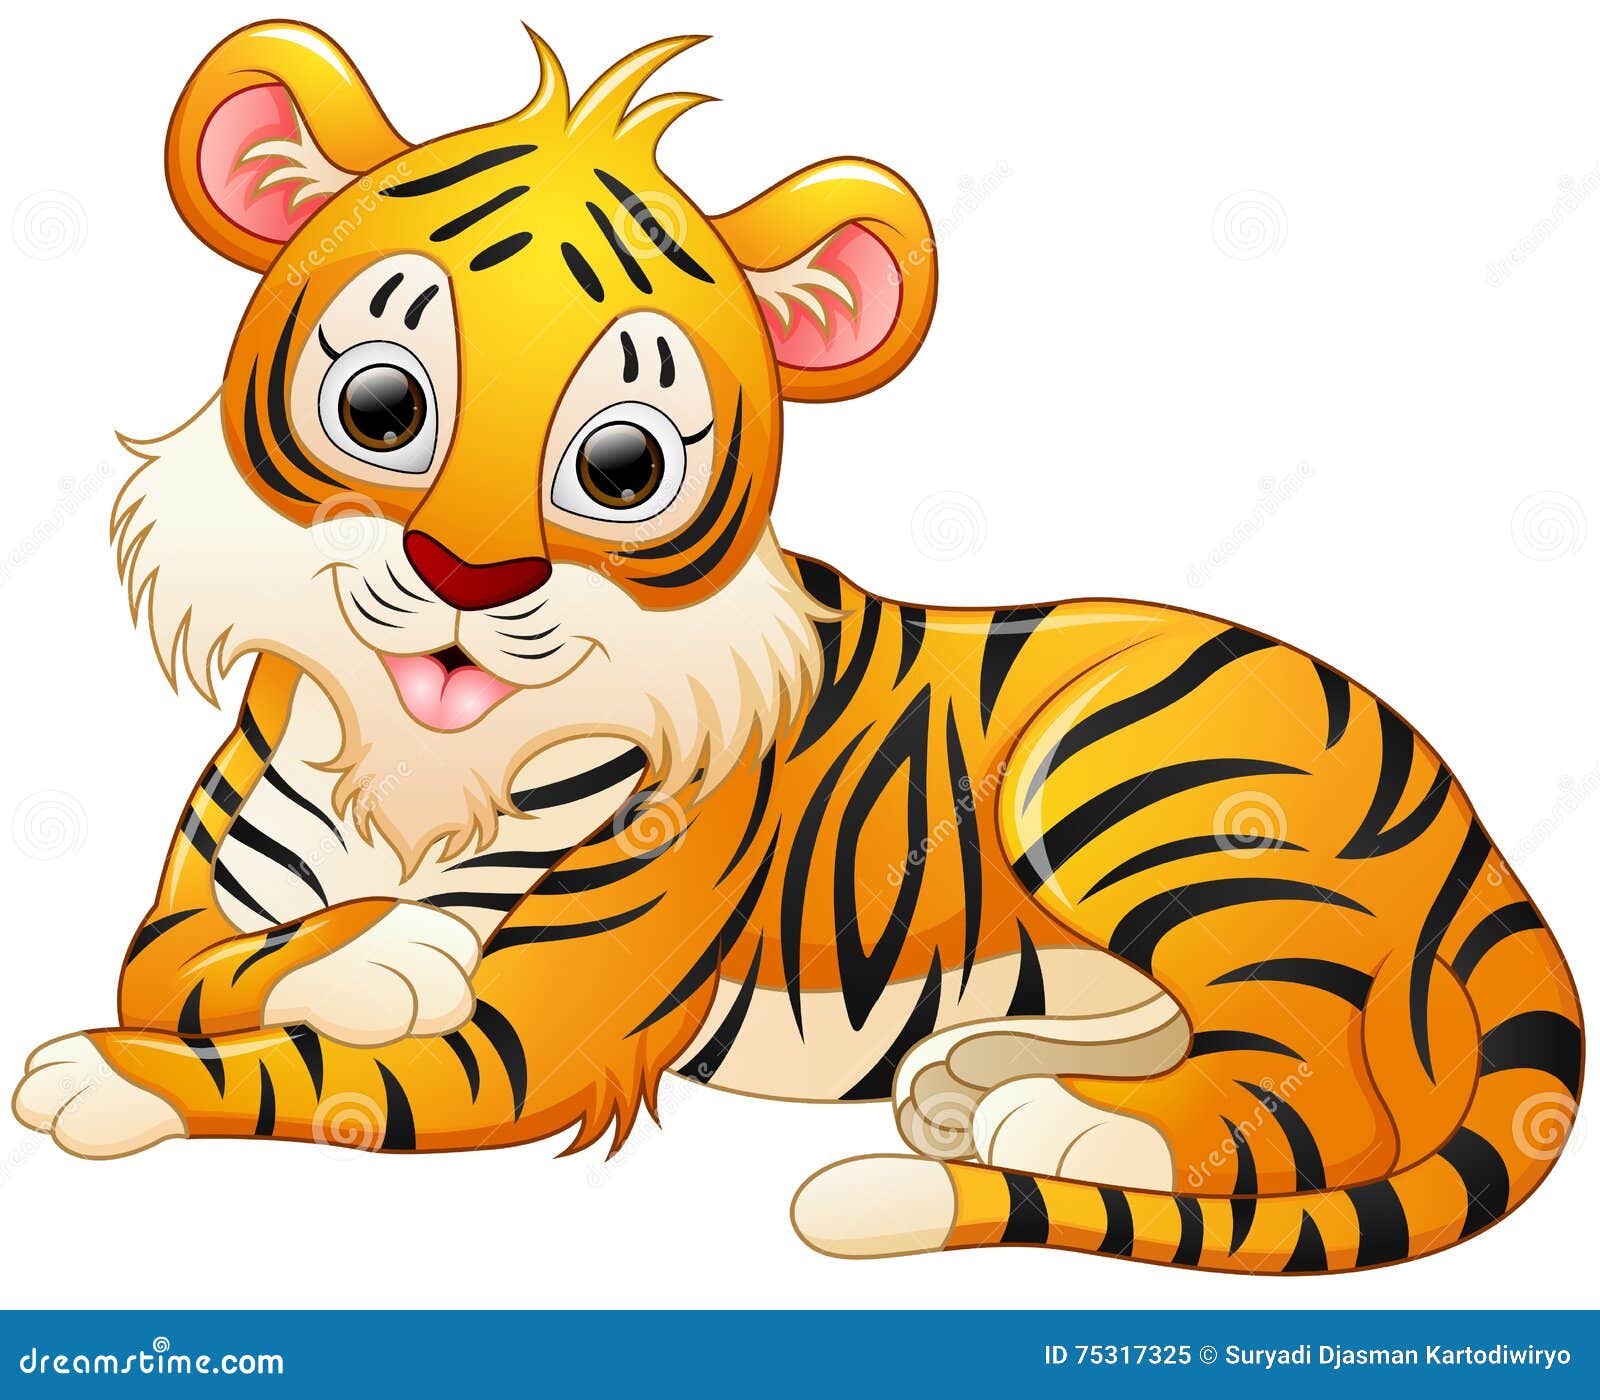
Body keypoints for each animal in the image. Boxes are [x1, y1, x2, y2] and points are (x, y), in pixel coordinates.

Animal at [11, 20, 1583, 1276]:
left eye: (624, 466)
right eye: (383, 408)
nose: (469, 570)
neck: (422, 764)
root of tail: (1460, 803)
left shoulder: (538, 1037)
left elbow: (298, 1058)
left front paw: (109, 1078)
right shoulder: (186, 917)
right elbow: (203, 970)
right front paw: (370, 954)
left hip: (1127, 789)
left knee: (1312, 1078)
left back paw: (1061, 1123)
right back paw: (963, 1086)